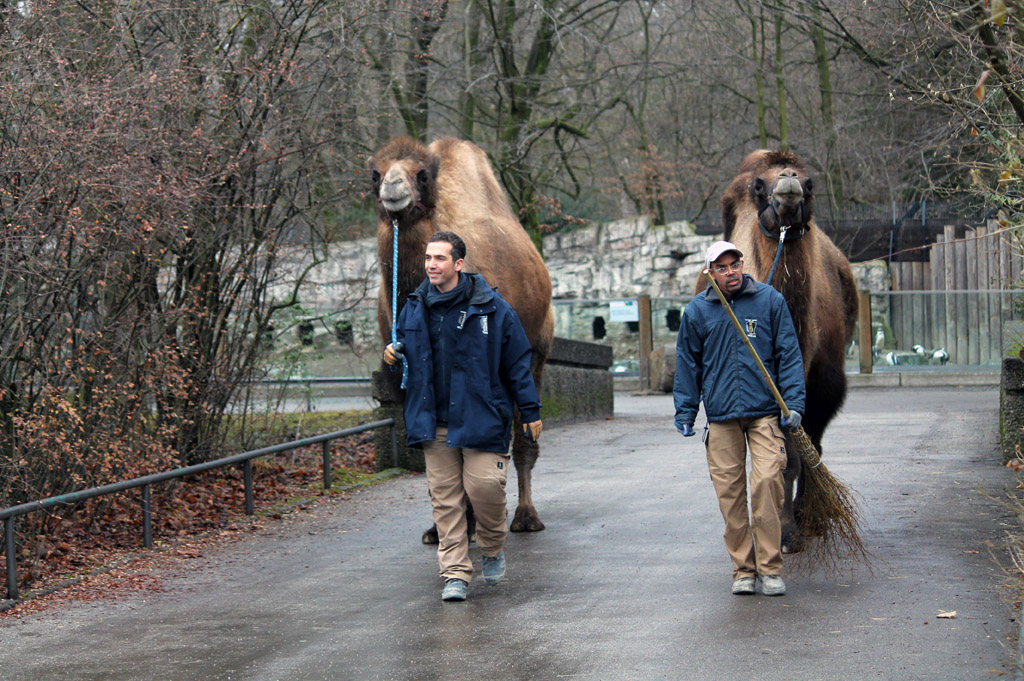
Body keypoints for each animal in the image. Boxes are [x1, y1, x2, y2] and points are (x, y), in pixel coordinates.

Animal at [366, 137, 552, 536]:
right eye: (375, 173)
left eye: (421, 174)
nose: (393, 188)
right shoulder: (405, 382)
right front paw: (442, 528)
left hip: (537, 350)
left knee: (523, 436)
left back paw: (525, 517)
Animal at [700, 147, 860, 548]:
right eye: (759, 186)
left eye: (810, 182)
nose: (788, 181)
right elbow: (783, 455)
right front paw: (784, 529)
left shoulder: (823, 382)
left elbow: (807, 447)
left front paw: (806, 518)